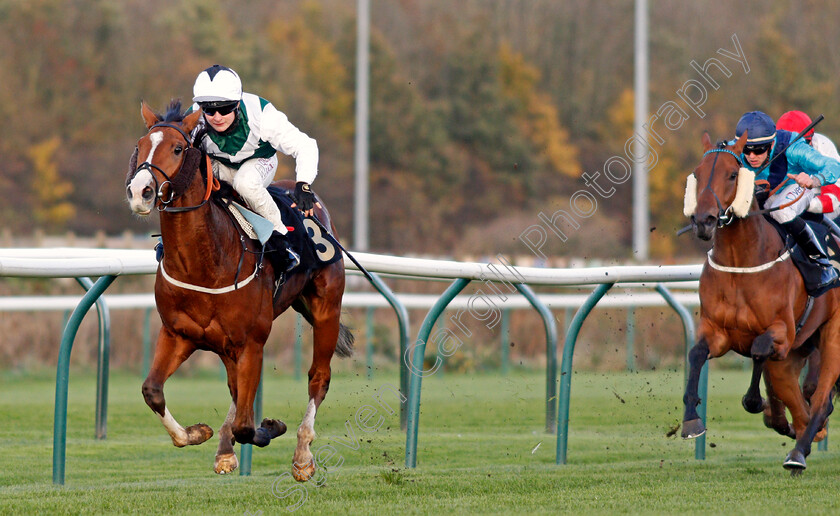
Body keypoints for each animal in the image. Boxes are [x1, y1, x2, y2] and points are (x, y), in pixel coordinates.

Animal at [124, 100, 352, 480]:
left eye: (177, 148)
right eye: (139, 146)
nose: (140, 192)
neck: (205, 260)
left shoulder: (251, 342)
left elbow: (248, 425)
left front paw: (271, 427)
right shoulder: (177, 334)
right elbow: (152, 391)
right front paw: (198, 433)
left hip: (326, 309)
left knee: (318, 378)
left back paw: (303, 454)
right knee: (233, 391)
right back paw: (225, 449)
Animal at [680, 130, 840, 472]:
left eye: (732, 174)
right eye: (697, 173)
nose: (704, 220)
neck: (741, 262)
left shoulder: (782, 332)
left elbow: (758, 349)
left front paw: (754, 401)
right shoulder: (717, 332)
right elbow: (696, 354)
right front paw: (691, 421)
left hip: (830, 337)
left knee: (820, 400)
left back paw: (798, 453)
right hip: (794, 356)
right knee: (801, 405)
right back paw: (801, 434)